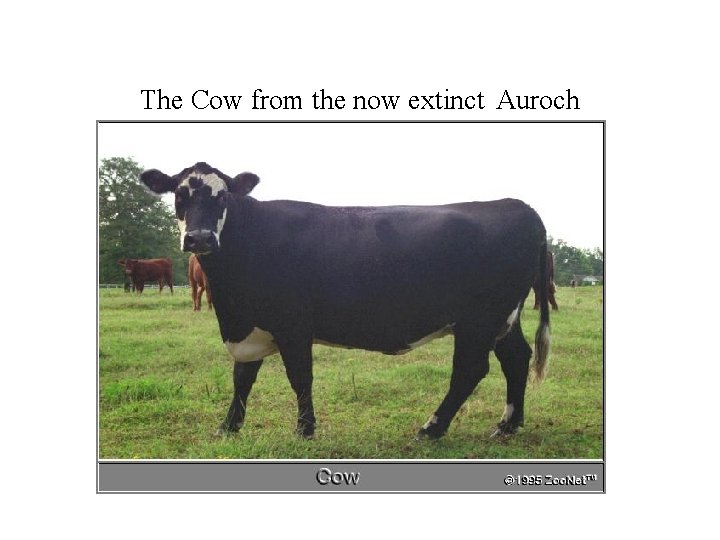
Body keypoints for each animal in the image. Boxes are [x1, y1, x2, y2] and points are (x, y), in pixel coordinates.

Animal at [140, 162, 551, 441]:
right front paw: (228, 427)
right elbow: (242, 377)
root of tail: (517, 206)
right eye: (179, 195)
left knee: (469, 370)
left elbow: (299, 377)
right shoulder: (250, 325)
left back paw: (432, 428)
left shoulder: (293, 324)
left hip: (479, 320)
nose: (200, 238)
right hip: (503, 318)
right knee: (516, 359)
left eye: (222, 195)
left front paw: (305, 429)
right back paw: (508, 424)